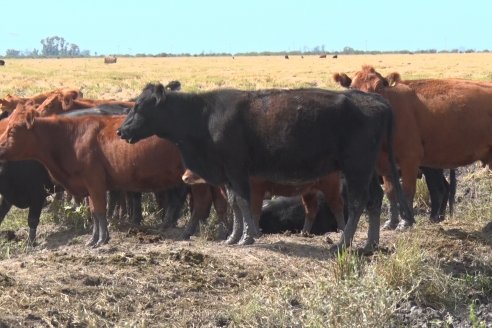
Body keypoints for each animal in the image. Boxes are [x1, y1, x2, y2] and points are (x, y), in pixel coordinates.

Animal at [182, 168, 346, 242]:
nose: (184, 177)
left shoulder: (256, 190)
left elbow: (254, 211)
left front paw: (254, 233)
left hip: (330, 186)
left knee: (337, 206)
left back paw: (341, 229)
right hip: (308, 192)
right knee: (310, 211)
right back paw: (303, 233)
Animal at [332, 65, 492, 229]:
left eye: (379, 87)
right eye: (352, 88)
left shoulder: (410, 158)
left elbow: (407, 190)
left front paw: (406, 221)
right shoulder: (386, 163)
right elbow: (391, 192)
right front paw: (392, 221)